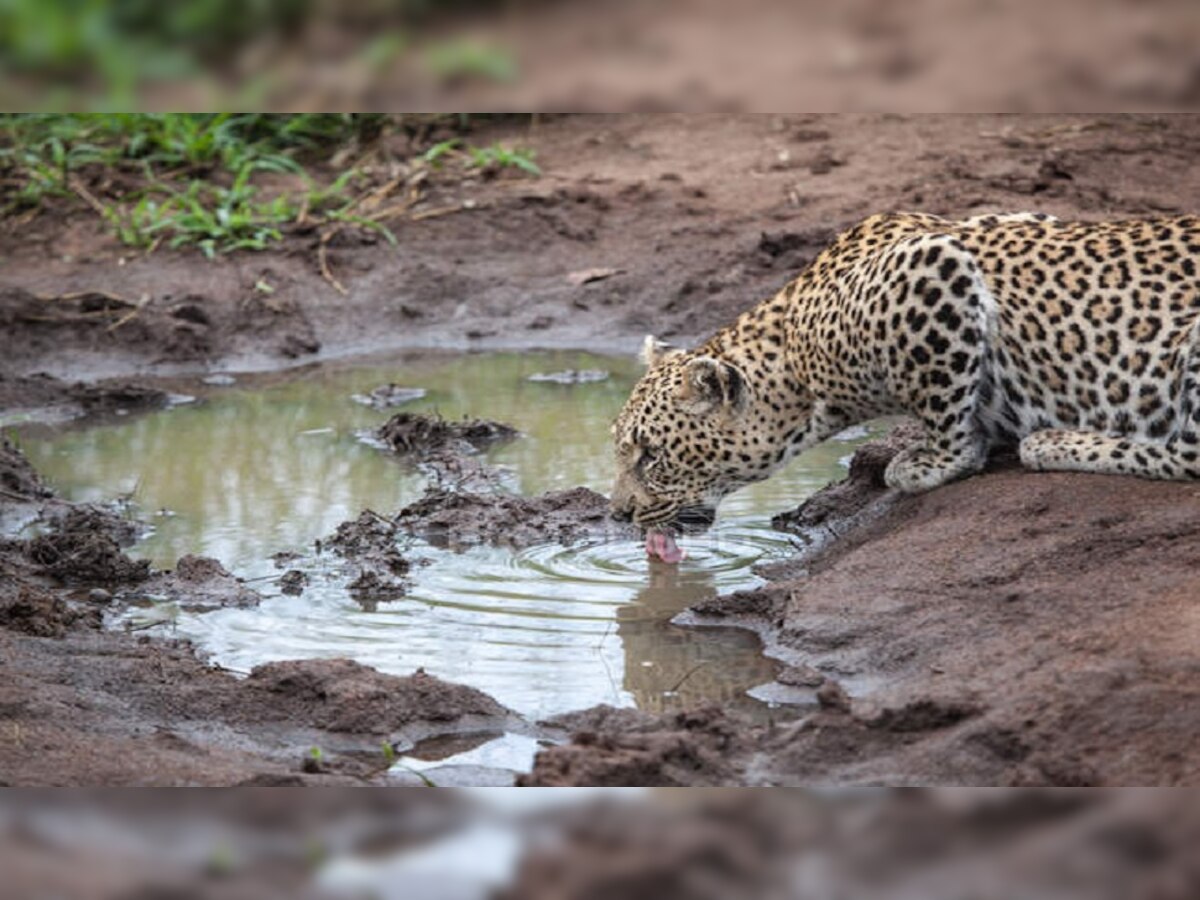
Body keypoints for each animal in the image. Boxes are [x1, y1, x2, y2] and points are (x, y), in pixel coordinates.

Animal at [609, 214, 1200, 554]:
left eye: (651, 457)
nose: (618, 514)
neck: (795, 356)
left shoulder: (933, 271)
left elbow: (946, 404)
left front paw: (930, 462)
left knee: (1188, 455)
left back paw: (1055, 442)